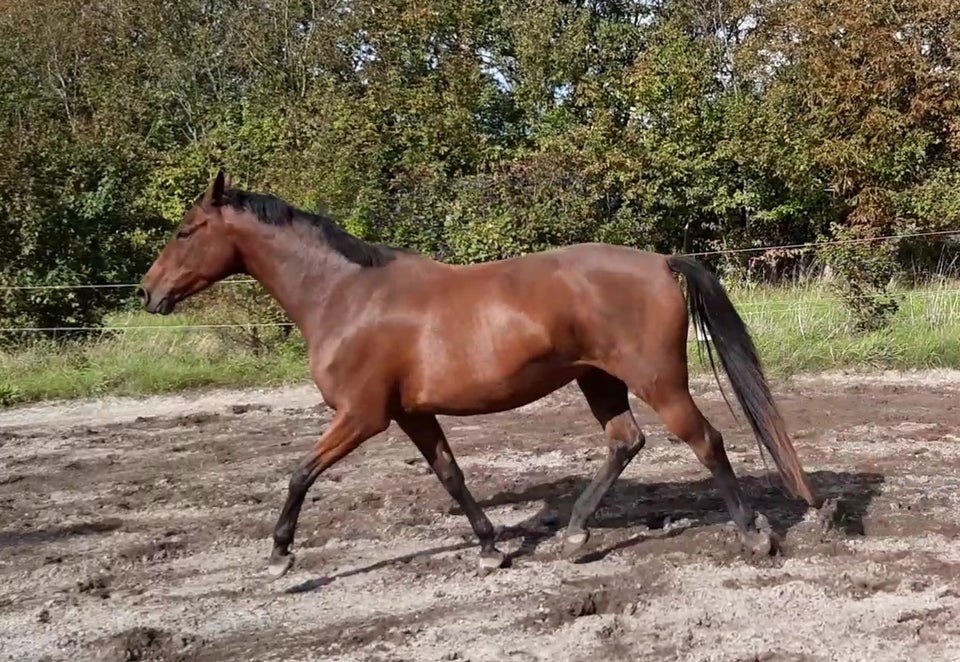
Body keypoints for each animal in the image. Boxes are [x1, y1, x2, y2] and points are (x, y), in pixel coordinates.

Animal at [141, 172, 824, 580]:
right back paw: (575, 533)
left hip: (658, 382)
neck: (346, 296)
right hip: (597, 380)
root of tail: (660, 261)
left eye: (185, 230)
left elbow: (300, 473)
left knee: (705, 441)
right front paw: (492, 546)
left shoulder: (363, 415)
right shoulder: (412, 414)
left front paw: (280, 553)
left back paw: (751, 537)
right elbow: (451, 474)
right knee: (625, 442)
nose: (149, 293)